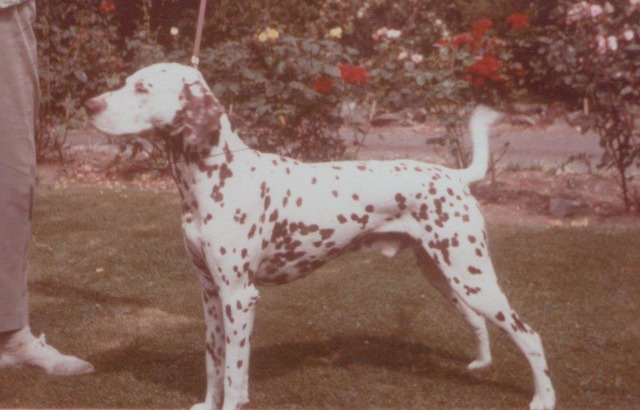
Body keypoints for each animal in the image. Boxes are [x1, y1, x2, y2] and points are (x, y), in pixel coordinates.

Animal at [85, 63, 556, 410]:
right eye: (126, 81)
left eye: (142, 88)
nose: (89, 104)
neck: (216, 174)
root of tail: (453, 175)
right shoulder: (210, 292)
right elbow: (213, 361)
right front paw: (206, 404)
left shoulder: (240, 295)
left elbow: (235, 373)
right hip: (446, 275)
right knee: (478, 321)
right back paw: (480, 363)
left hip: (472, 276)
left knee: (529, 335)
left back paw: (543, 398)